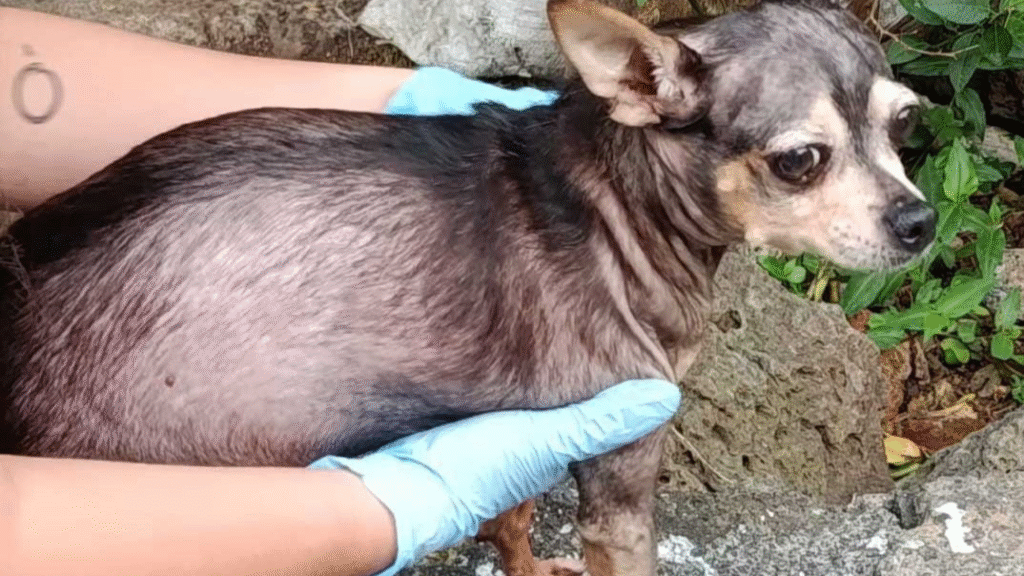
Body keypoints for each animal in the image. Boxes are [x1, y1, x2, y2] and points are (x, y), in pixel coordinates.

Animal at [0, 1, 935, 575]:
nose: (921, 222)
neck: (621, 203)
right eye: (800, 160)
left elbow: (509, 516)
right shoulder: (624, 468)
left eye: (904, 122)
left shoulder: (517, 420)